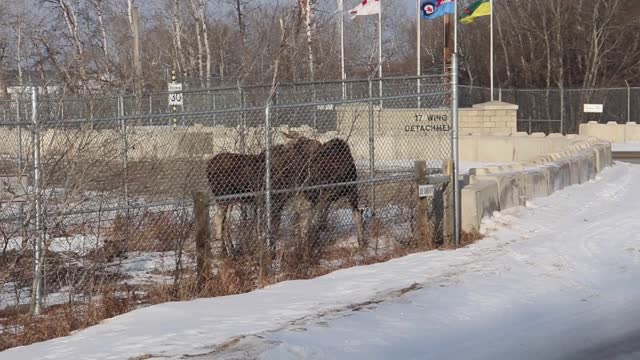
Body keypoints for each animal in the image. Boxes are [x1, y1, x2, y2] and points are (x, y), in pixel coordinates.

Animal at [206, 133, 364, 256]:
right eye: (303, 143)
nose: (319, 145)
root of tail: (208, 166)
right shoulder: (277, 201)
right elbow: (275, 226)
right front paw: (272, 251)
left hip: (230, 201)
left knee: (224, 224)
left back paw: (230, 251)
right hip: (223, 200)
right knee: (219, 223)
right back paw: (229, 253)